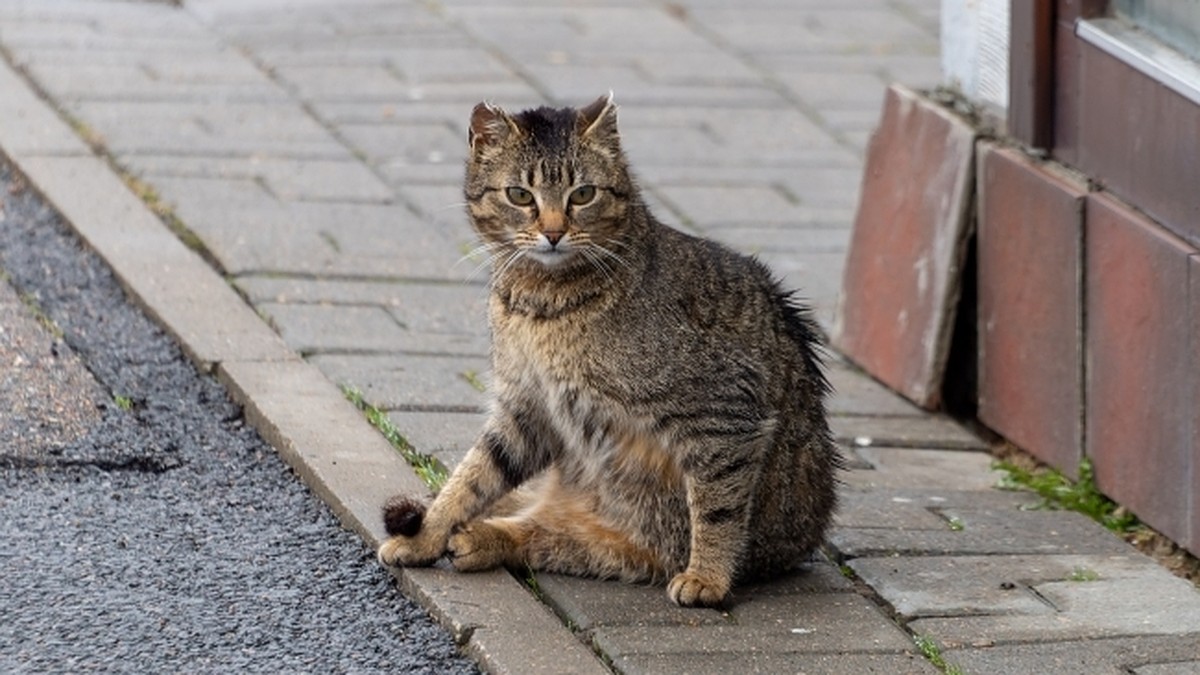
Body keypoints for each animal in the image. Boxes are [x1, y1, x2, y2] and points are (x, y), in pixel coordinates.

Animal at [376, 91, 844, 600]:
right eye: (520, 195)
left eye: (583, 194)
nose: (554, 232)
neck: (540, 301)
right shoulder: (527, 407)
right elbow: (472, 477)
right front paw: (426, 534)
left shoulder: (724, 413)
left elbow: (718, 508)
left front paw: (709, 576)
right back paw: (472, 534)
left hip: (639, 541)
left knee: (553, 536)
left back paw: (482, 538)